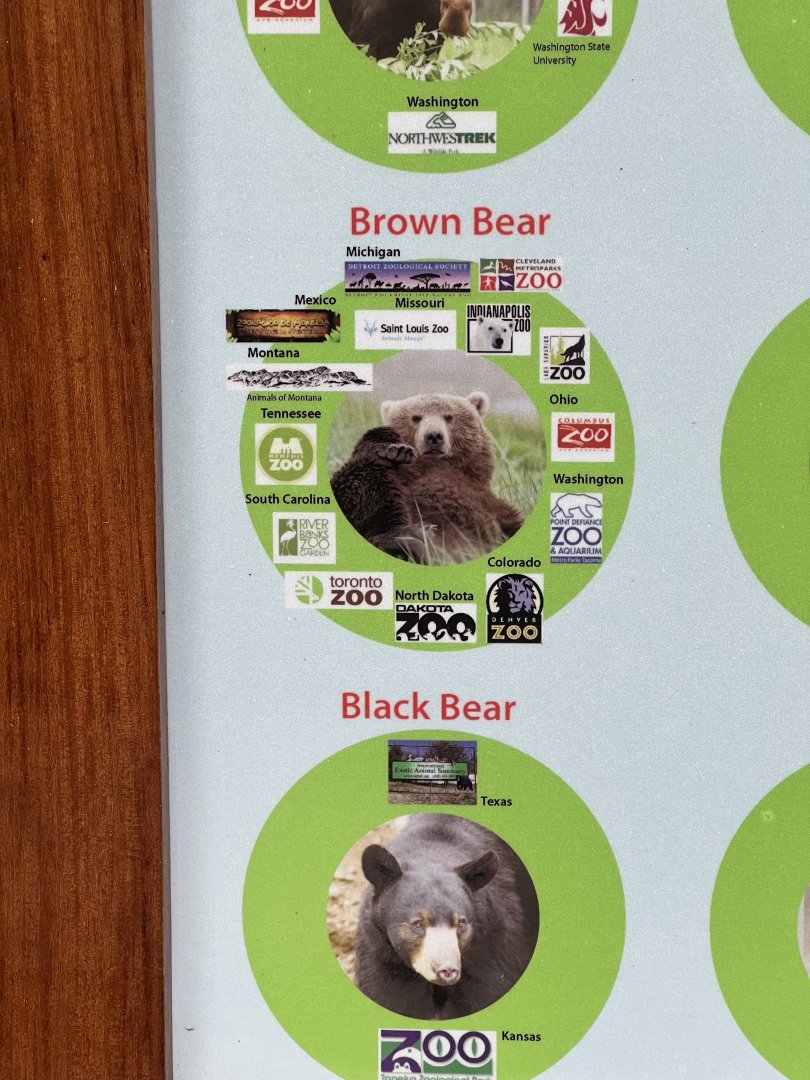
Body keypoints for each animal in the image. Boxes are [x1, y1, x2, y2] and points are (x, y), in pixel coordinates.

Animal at [354, 814, 539, 1020]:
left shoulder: (490, 945)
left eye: (461, 923)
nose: (447, 970)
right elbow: (389, 995)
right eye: (418, 924)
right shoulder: (381, 951)